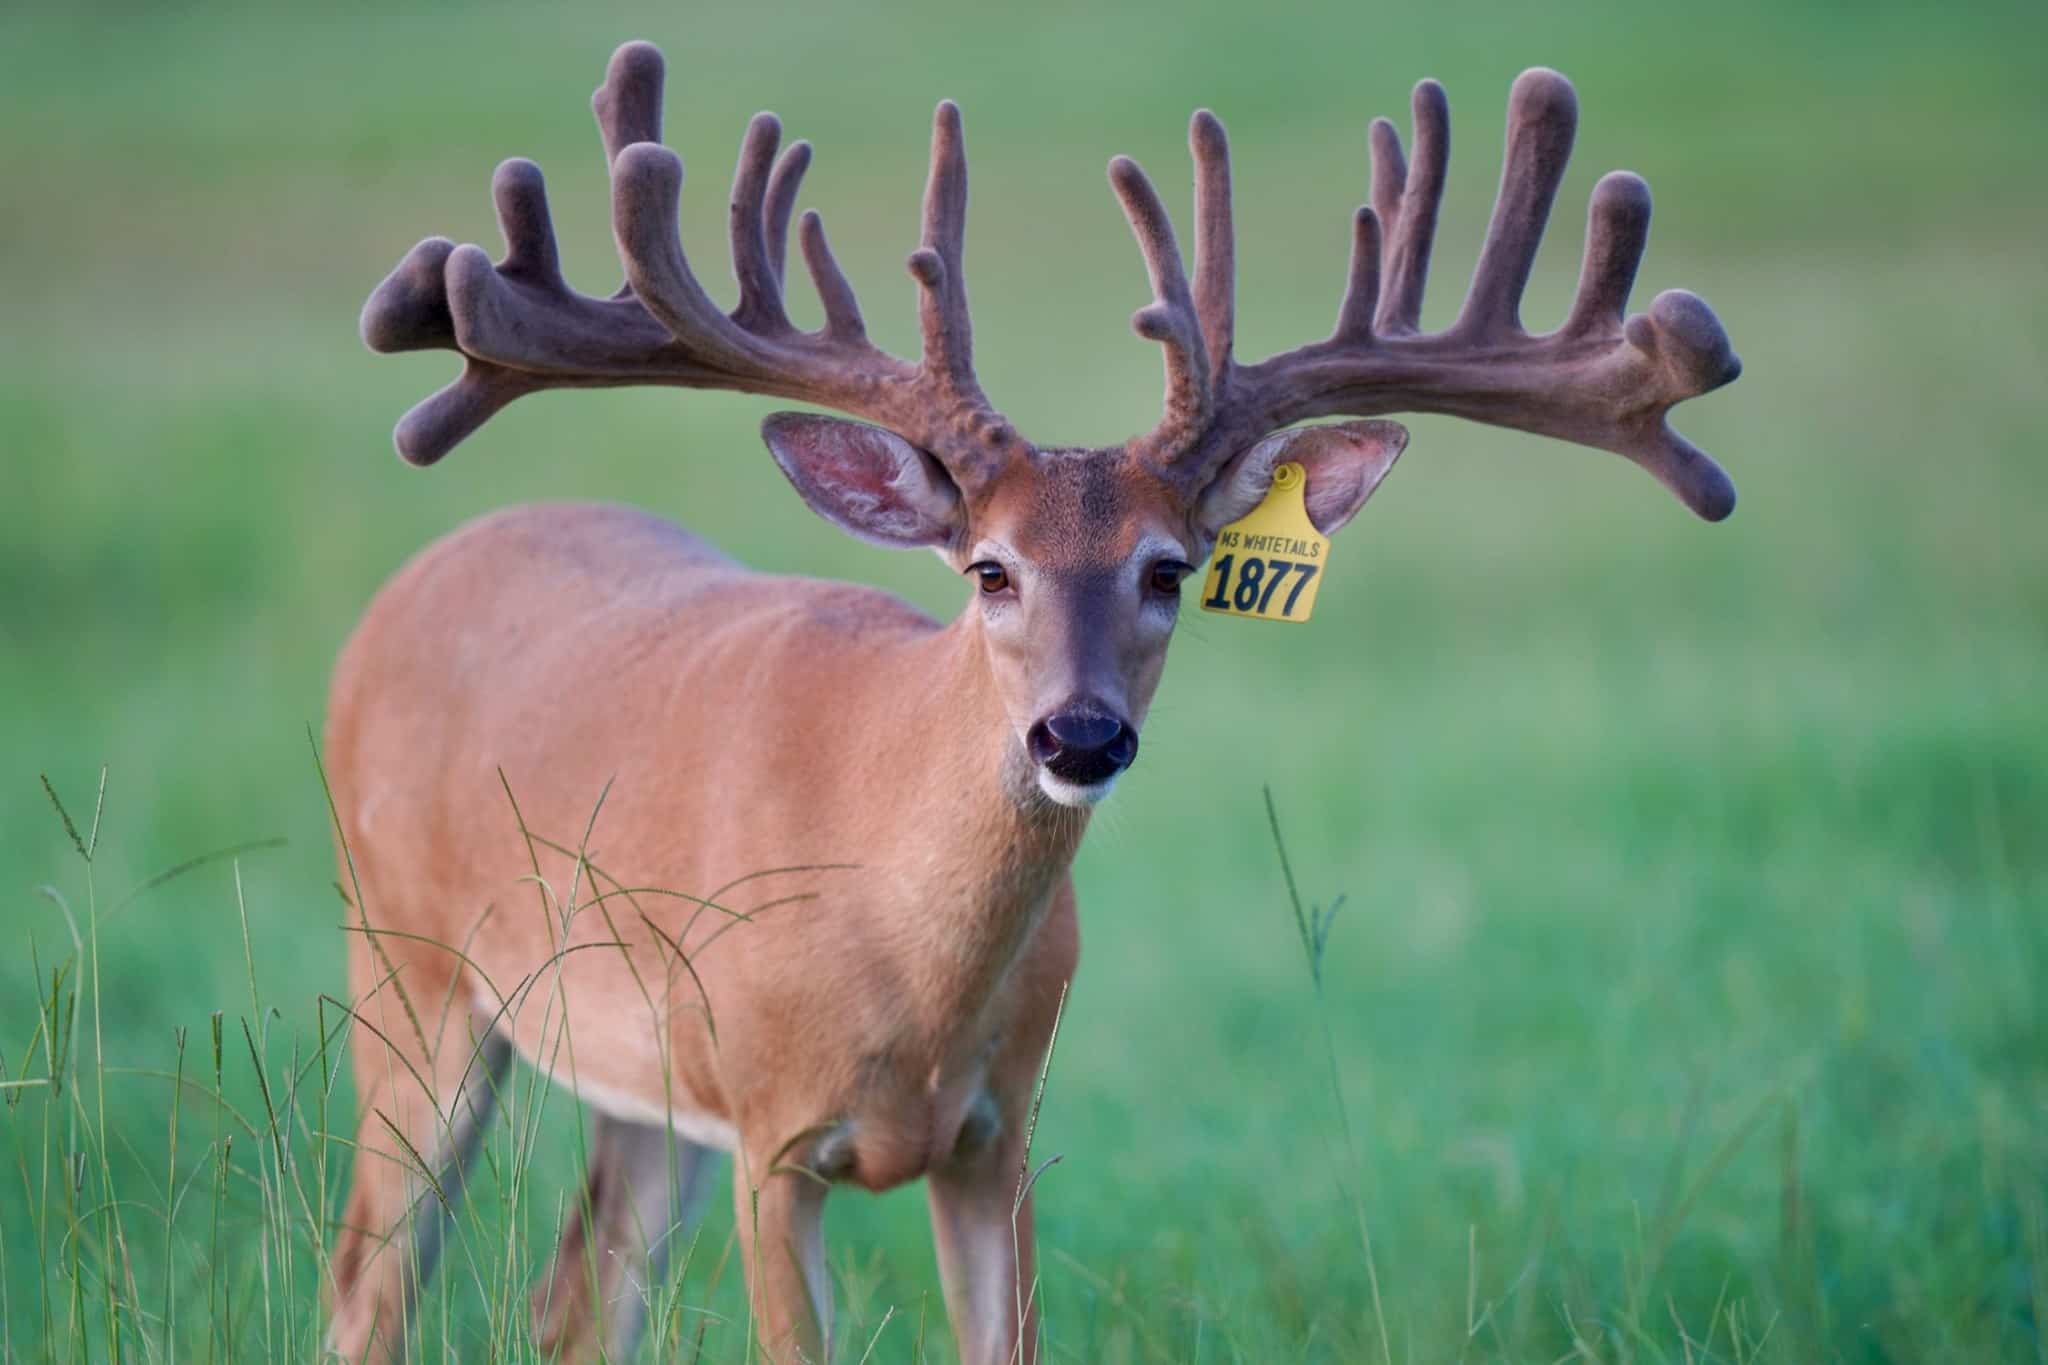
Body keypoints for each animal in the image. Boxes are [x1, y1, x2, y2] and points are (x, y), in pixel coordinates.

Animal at [324, 39, 1740, 1365]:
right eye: (988, 569)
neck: (897, 948)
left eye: (1166, 570)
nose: (1081, 734)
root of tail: (411, 584)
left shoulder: (995, 1134)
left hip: (637, 1081)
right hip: (408, 970)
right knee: (366, 1282)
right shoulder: (773, 1132)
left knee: (574, 1296)